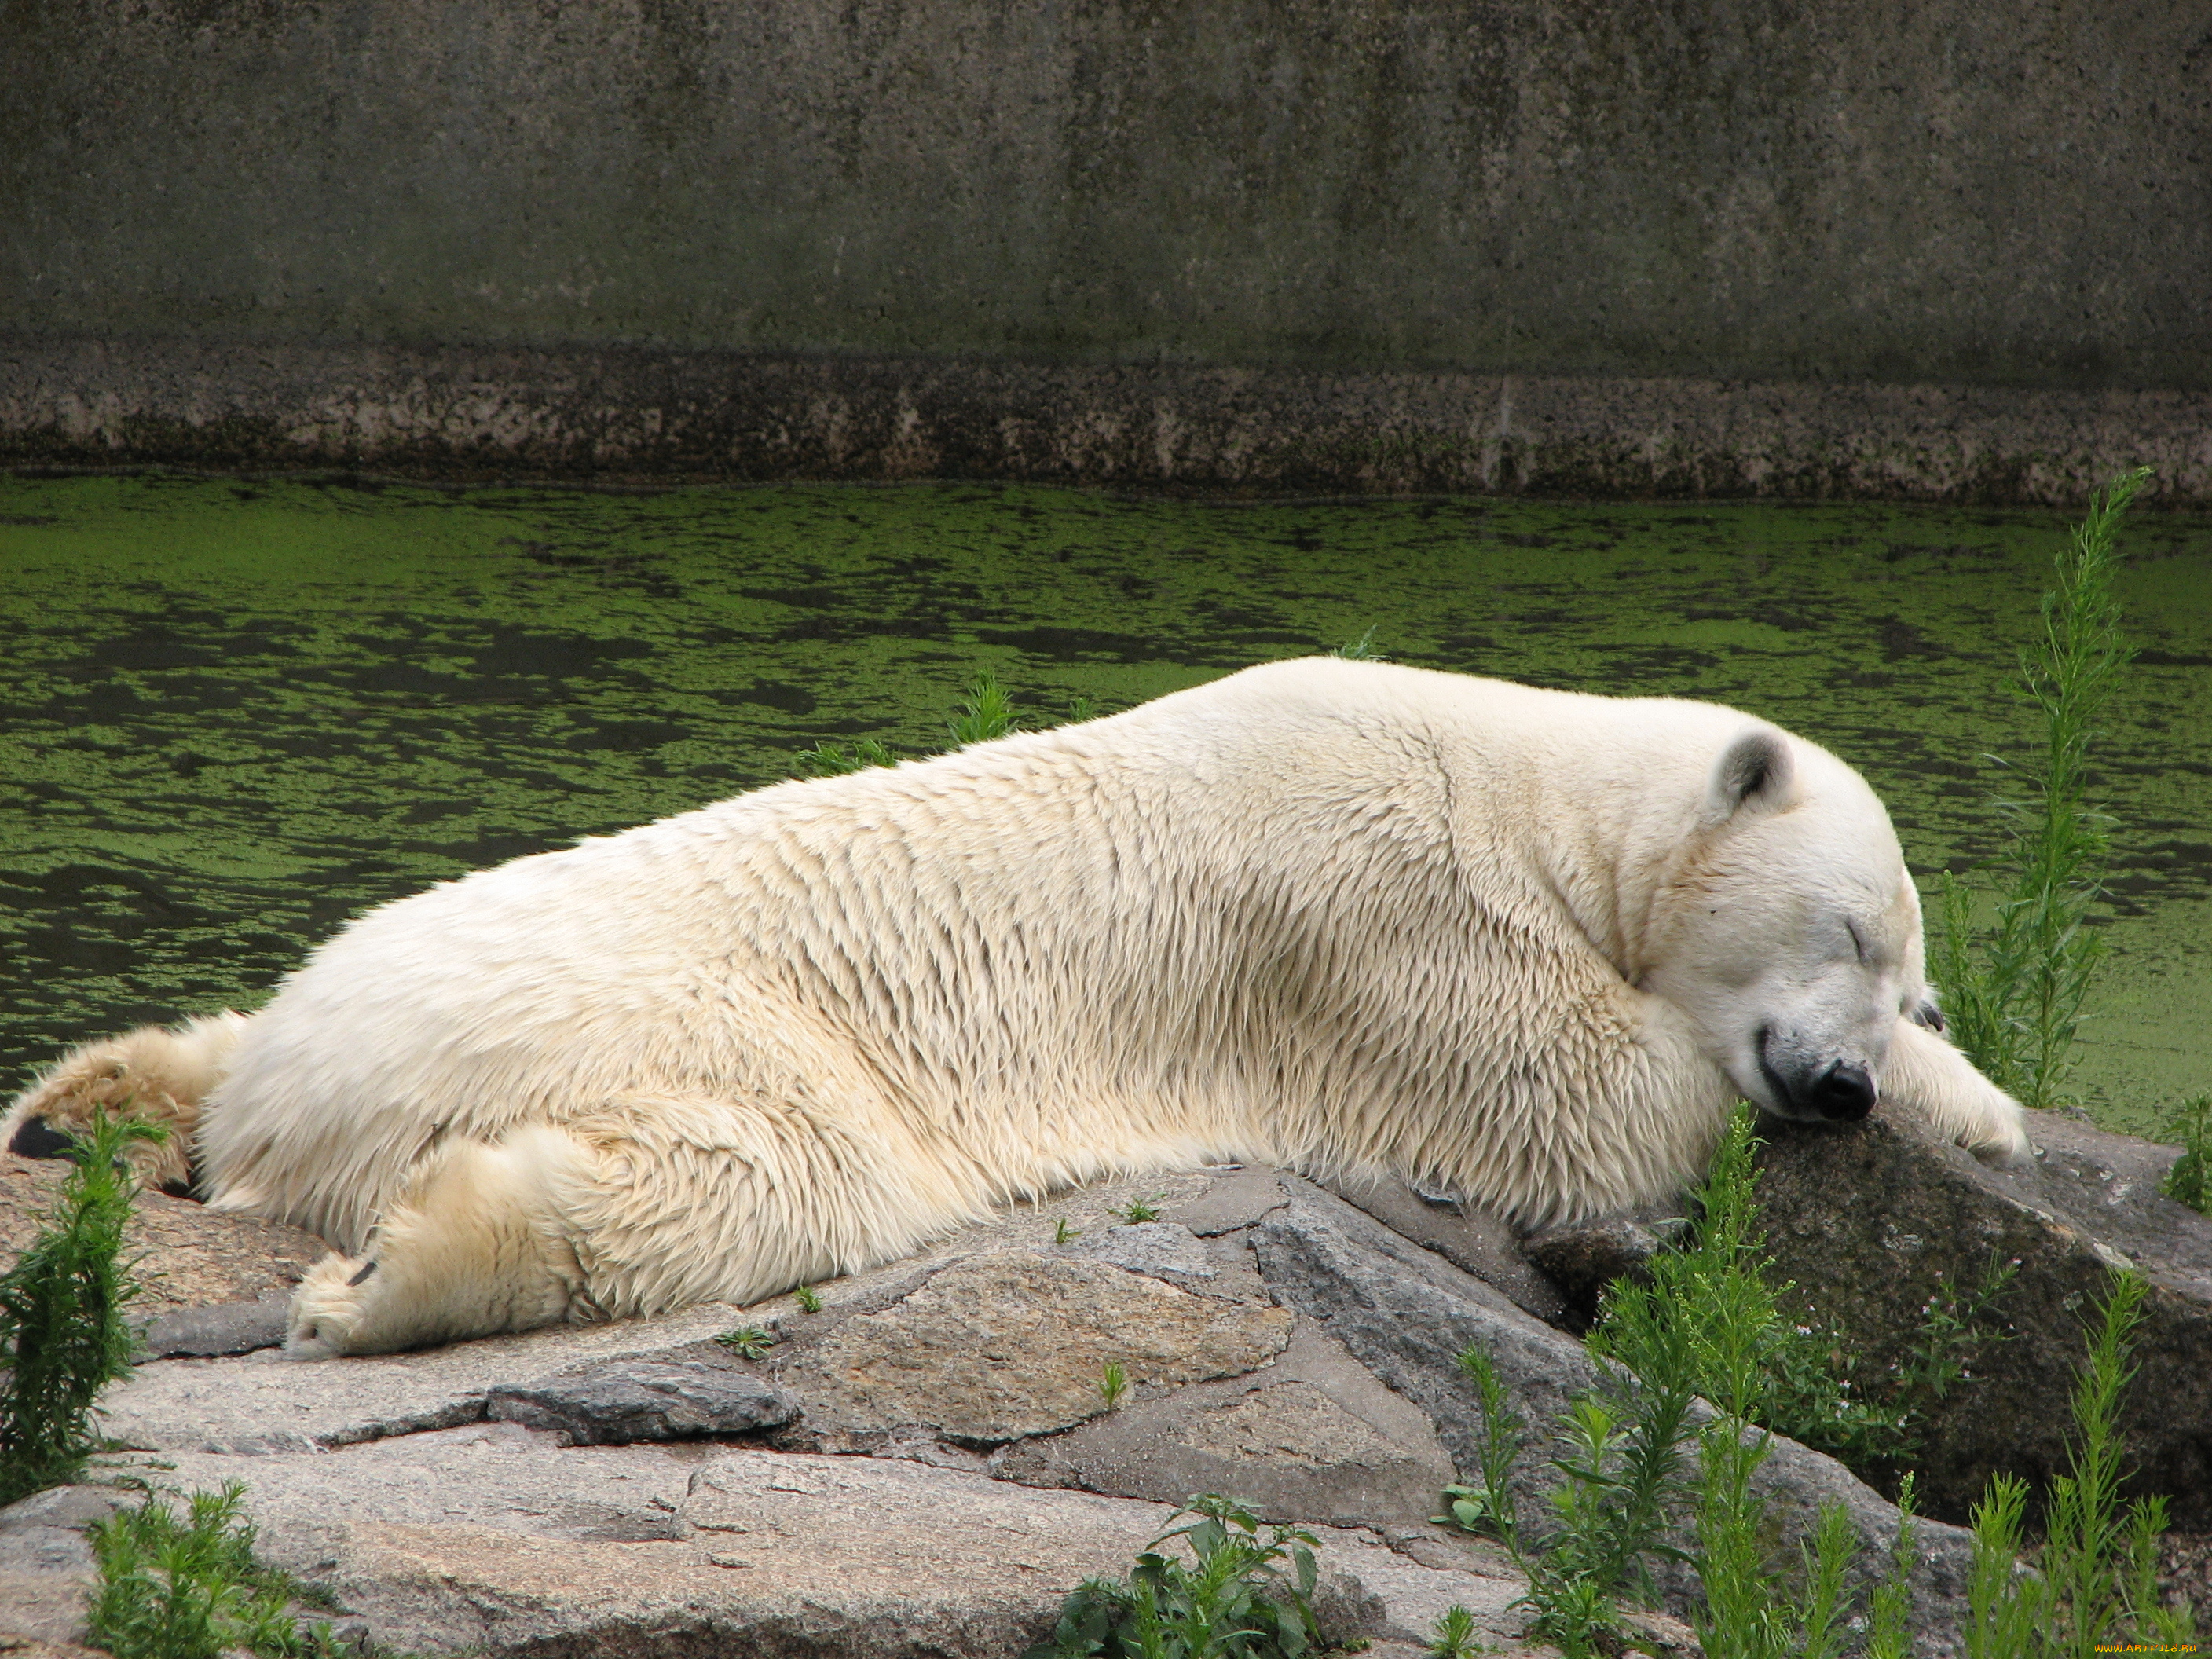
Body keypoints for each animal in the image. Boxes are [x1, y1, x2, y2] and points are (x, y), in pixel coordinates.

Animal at [9, 663, 2026, 1362]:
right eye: (1848, 926)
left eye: (1904, 964)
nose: (1847, 1084)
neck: (1525, 781)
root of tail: (306, 1091)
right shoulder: (1375, 912)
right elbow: (1576, 1090)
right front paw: (1959, 1105)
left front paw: (1970, 1095)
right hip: (638, 1009)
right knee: (764, 1172)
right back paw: (383, 1272)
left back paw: (83, 1099)